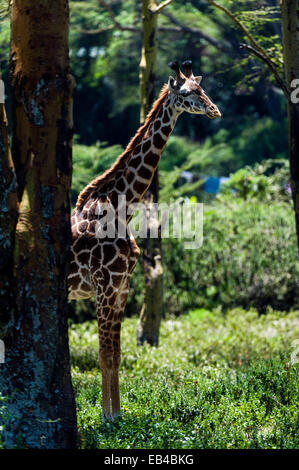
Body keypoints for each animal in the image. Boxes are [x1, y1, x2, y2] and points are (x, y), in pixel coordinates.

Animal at [68, 59, 223, 418]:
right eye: (187, 93)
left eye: (203, 88)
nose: (215, 111)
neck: (120, 209)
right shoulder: (104, 285)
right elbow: (103, 353)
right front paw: (107, 417)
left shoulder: (123, 285)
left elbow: (117, 353)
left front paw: (117, 415)